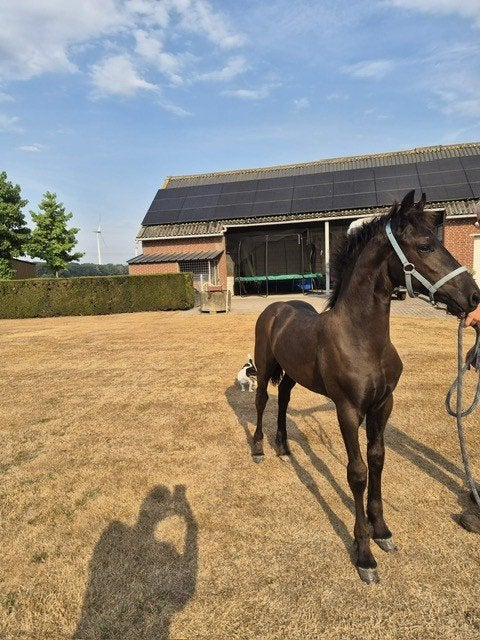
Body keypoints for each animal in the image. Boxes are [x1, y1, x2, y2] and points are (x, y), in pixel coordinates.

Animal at [252, 190, 480, 584]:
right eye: (425, 246)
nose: (474, 297)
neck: (361, 339)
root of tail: (277, 306)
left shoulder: (382, 405)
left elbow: (378, 459)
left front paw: (382, 531)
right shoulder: (348, 410)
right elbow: (357, 473)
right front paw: (364, 555)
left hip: (292, 372)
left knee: (282, 400)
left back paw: (283, 446)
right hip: (265, 366)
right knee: (262, 400)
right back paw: (258, 448)